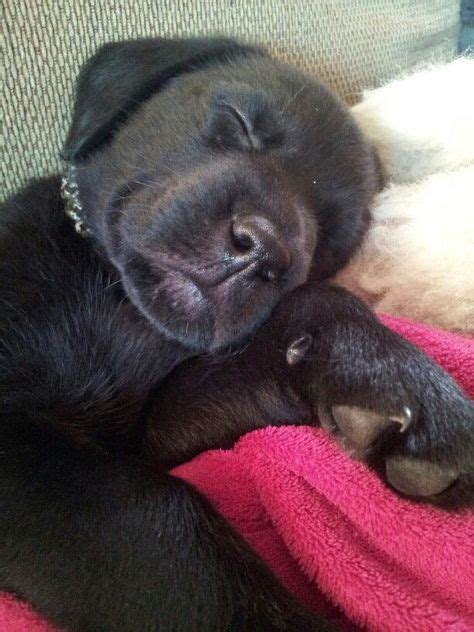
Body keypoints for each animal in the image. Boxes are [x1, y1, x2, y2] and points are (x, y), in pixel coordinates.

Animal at [0, 39, 474, 632]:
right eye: (239, 122)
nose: (264, 249)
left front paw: (384, 377)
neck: (123, 307)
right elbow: (154, 514)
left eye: (330, 237)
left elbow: (303, 312)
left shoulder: (156, 427)